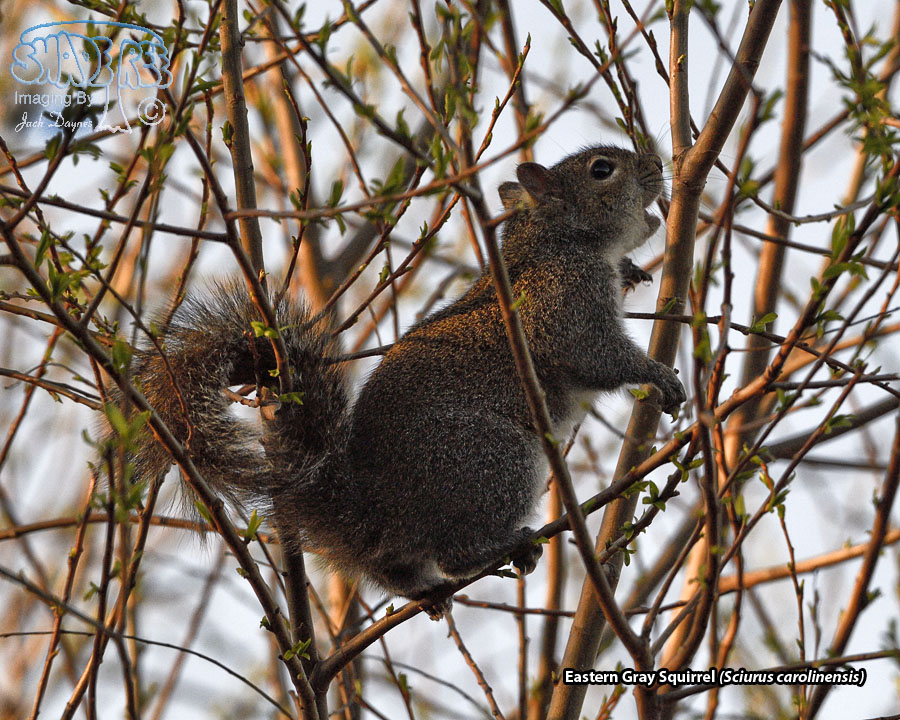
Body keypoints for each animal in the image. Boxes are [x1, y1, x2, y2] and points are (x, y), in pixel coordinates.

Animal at [116, 145, 686, 612]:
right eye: (601, 170)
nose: (658, 164)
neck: (554, 242)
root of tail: (372, 509)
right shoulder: (564, 305)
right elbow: (598, 357)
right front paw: (659, 376)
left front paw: (632, 270)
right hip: (491, 456)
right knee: (455, 550)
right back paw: (505, 546)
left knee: (392, 566)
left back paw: (427, 590)